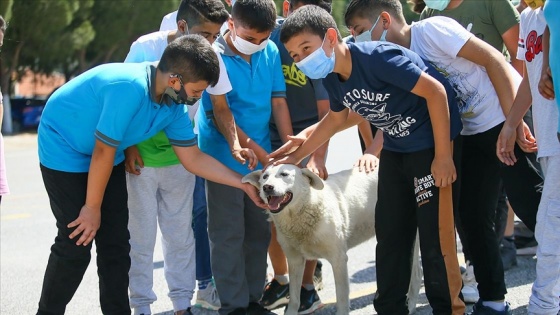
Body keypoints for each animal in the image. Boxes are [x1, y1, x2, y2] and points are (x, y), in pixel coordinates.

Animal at [242, 165, 420, 315]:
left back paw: (411, 304)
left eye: (284, 174)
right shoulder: (294, 260)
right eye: (265, 177)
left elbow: (341, 297)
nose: (267, 187)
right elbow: (294, 299)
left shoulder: (338, 259)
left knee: (416, 276)